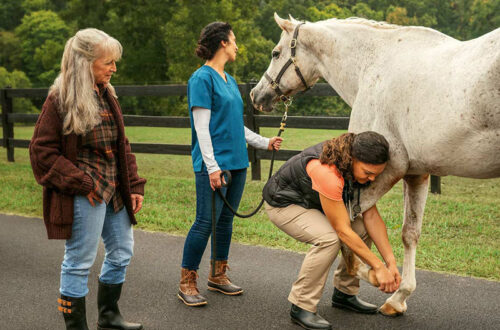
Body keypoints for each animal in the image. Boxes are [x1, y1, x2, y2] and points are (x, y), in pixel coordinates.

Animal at [252, 13, 498, 318]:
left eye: (276, 53)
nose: (256, 95)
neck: (374, 64)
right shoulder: (417, 174)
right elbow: (409, 233)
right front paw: (398, 296)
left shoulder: (386, 172)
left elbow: (348, 228)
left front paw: (373, 274)